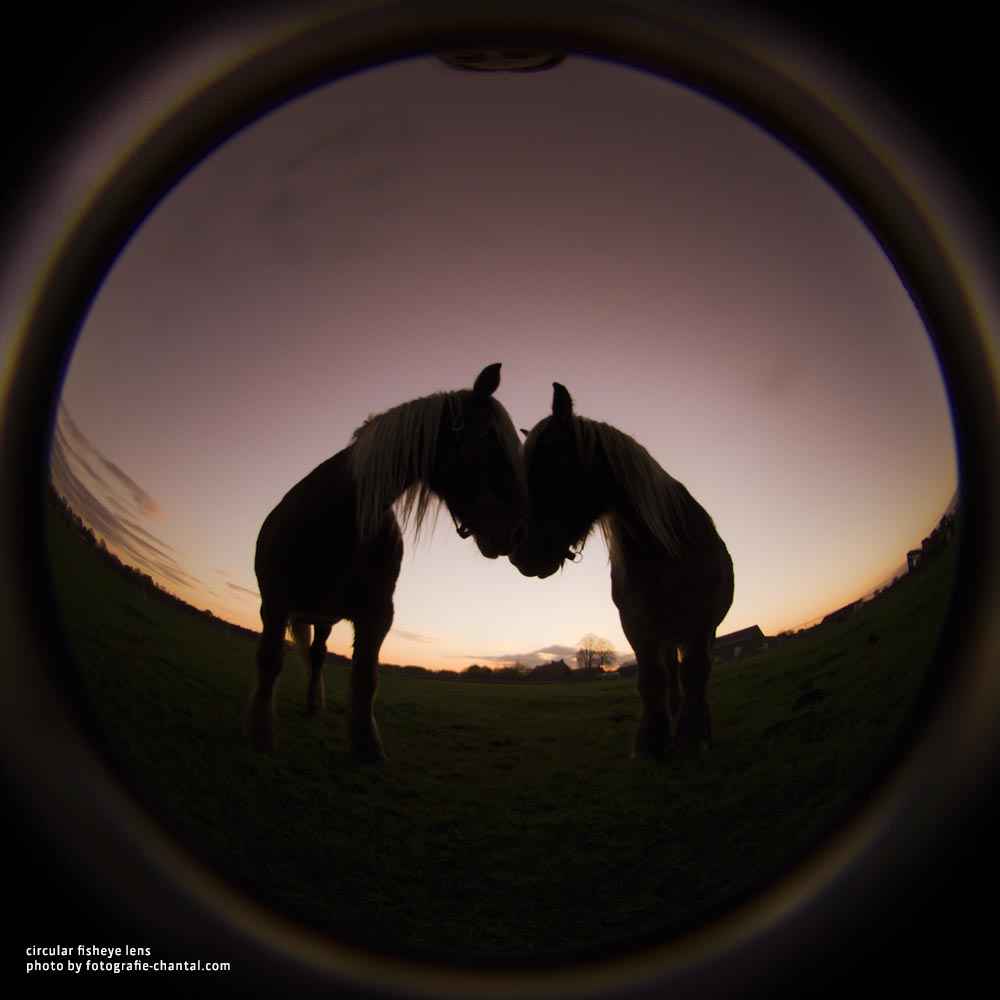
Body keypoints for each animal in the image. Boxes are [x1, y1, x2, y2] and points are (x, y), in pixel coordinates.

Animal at [249, 364, 528, 760]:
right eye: (489, 434)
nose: (518, 532)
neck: (341, 520)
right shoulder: (274, 603)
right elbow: (269, 662)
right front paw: (260, 735)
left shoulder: (377, 614)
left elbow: (366, 677)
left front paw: (367, 746)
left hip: (324, 619)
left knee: (318, 655)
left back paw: (315, 704)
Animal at [512, 384, 732, 756]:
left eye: (548, 454)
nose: (519, 552)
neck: (663, 546)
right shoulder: (636, 621)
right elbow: (651, 679)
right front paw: (651, 740)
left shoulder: (702, 617)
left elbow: (696, 671)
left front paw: (692, 735)